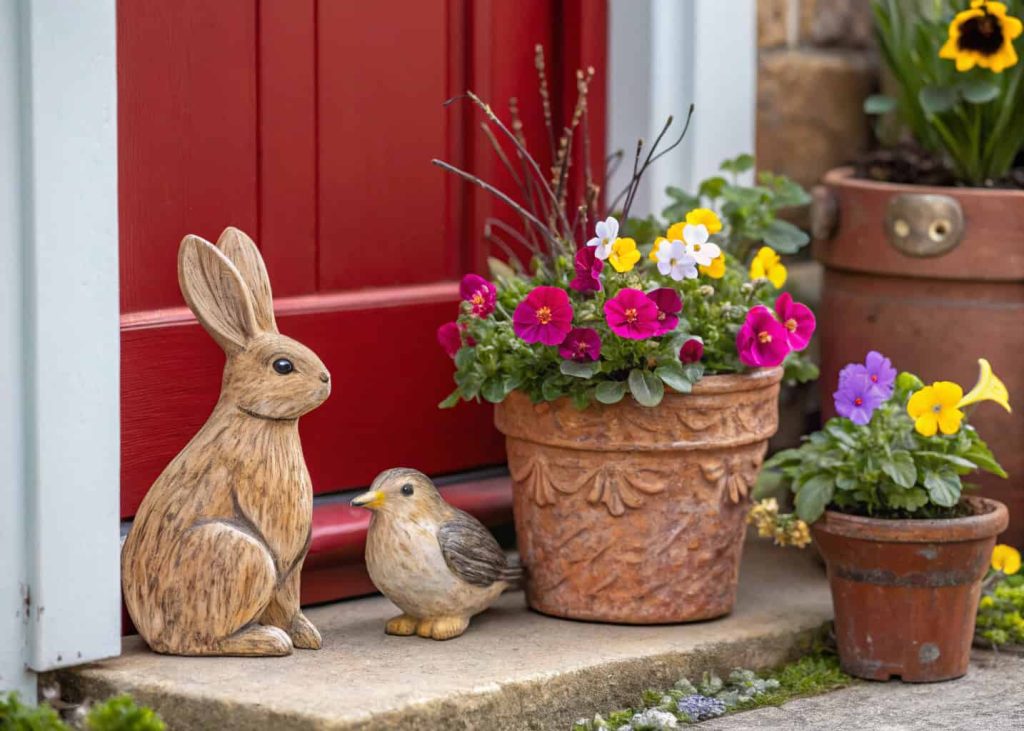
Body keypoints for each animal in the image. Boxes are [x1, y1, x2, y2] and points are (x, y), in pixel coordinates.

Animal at [121, 227, 331, 656]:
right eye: (282, 365)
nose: (326, 378)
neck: (256, 418)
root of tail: (156, 636)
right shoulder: (277, 532)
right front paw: (293, 637)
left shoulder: (294, 568)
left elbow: (290, 602)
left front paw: (308, 636)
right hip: (240, 556)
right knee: (204, 641)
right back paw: (267, 641)